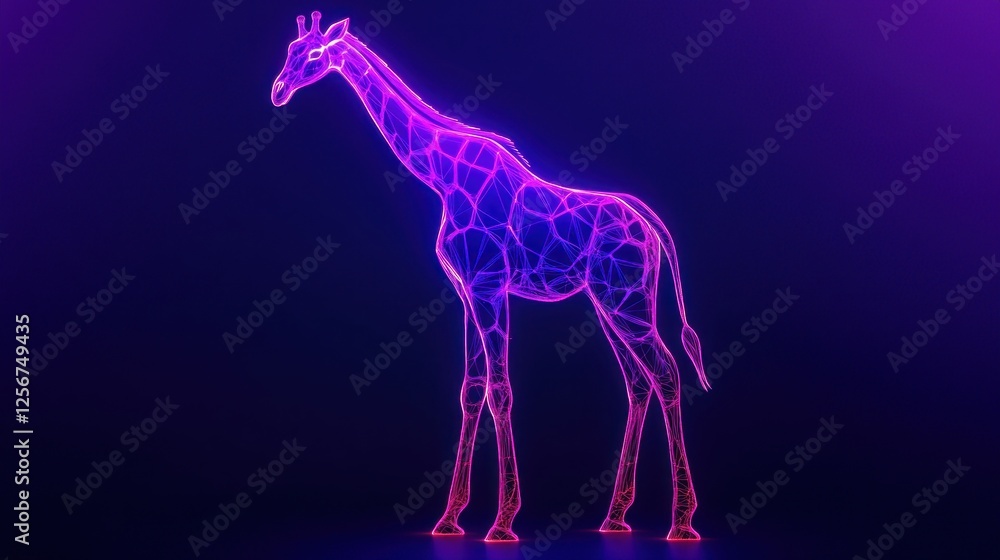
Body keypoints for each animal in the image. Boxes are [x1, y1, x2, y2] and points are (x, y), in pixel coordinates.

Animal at [271, 12, 711, 542]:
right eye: (290, 49)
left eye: (315, 55)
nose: (277, 91)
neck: (442, 178)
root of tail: (649, 223)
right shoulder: (465, 293)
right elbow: (470, 389)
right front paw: (449, 518)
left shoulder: (489, 286)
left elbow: (501, 390)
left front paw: (502, 522)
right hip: (608, 301)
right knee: (637, 382)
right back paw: (615, 517)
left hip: (625, 299)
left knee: (665, 373)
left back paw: (682, 522)